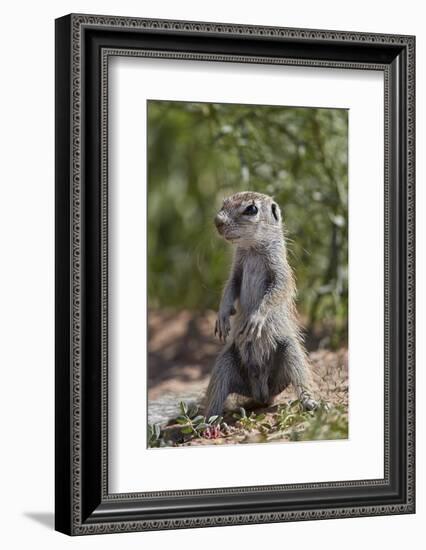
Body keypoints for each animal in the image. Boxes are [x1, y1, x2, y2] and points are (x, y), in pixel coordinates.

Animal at [205, 192, 318, 416]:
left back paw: (311, 402)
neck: (252, 250)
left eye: (251, 209)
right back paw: (208, 419)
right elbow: (230, 288)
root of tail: (261, 392)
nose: (217, 221)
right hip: (226, 360)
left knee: (301, 375)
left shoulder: (280, 271)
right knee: (217, 390)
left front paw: (255, 318)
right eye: (224, 203)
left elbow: (276, 291)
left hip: (290, 350)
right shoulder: (236, 270)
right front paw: (222, 315)